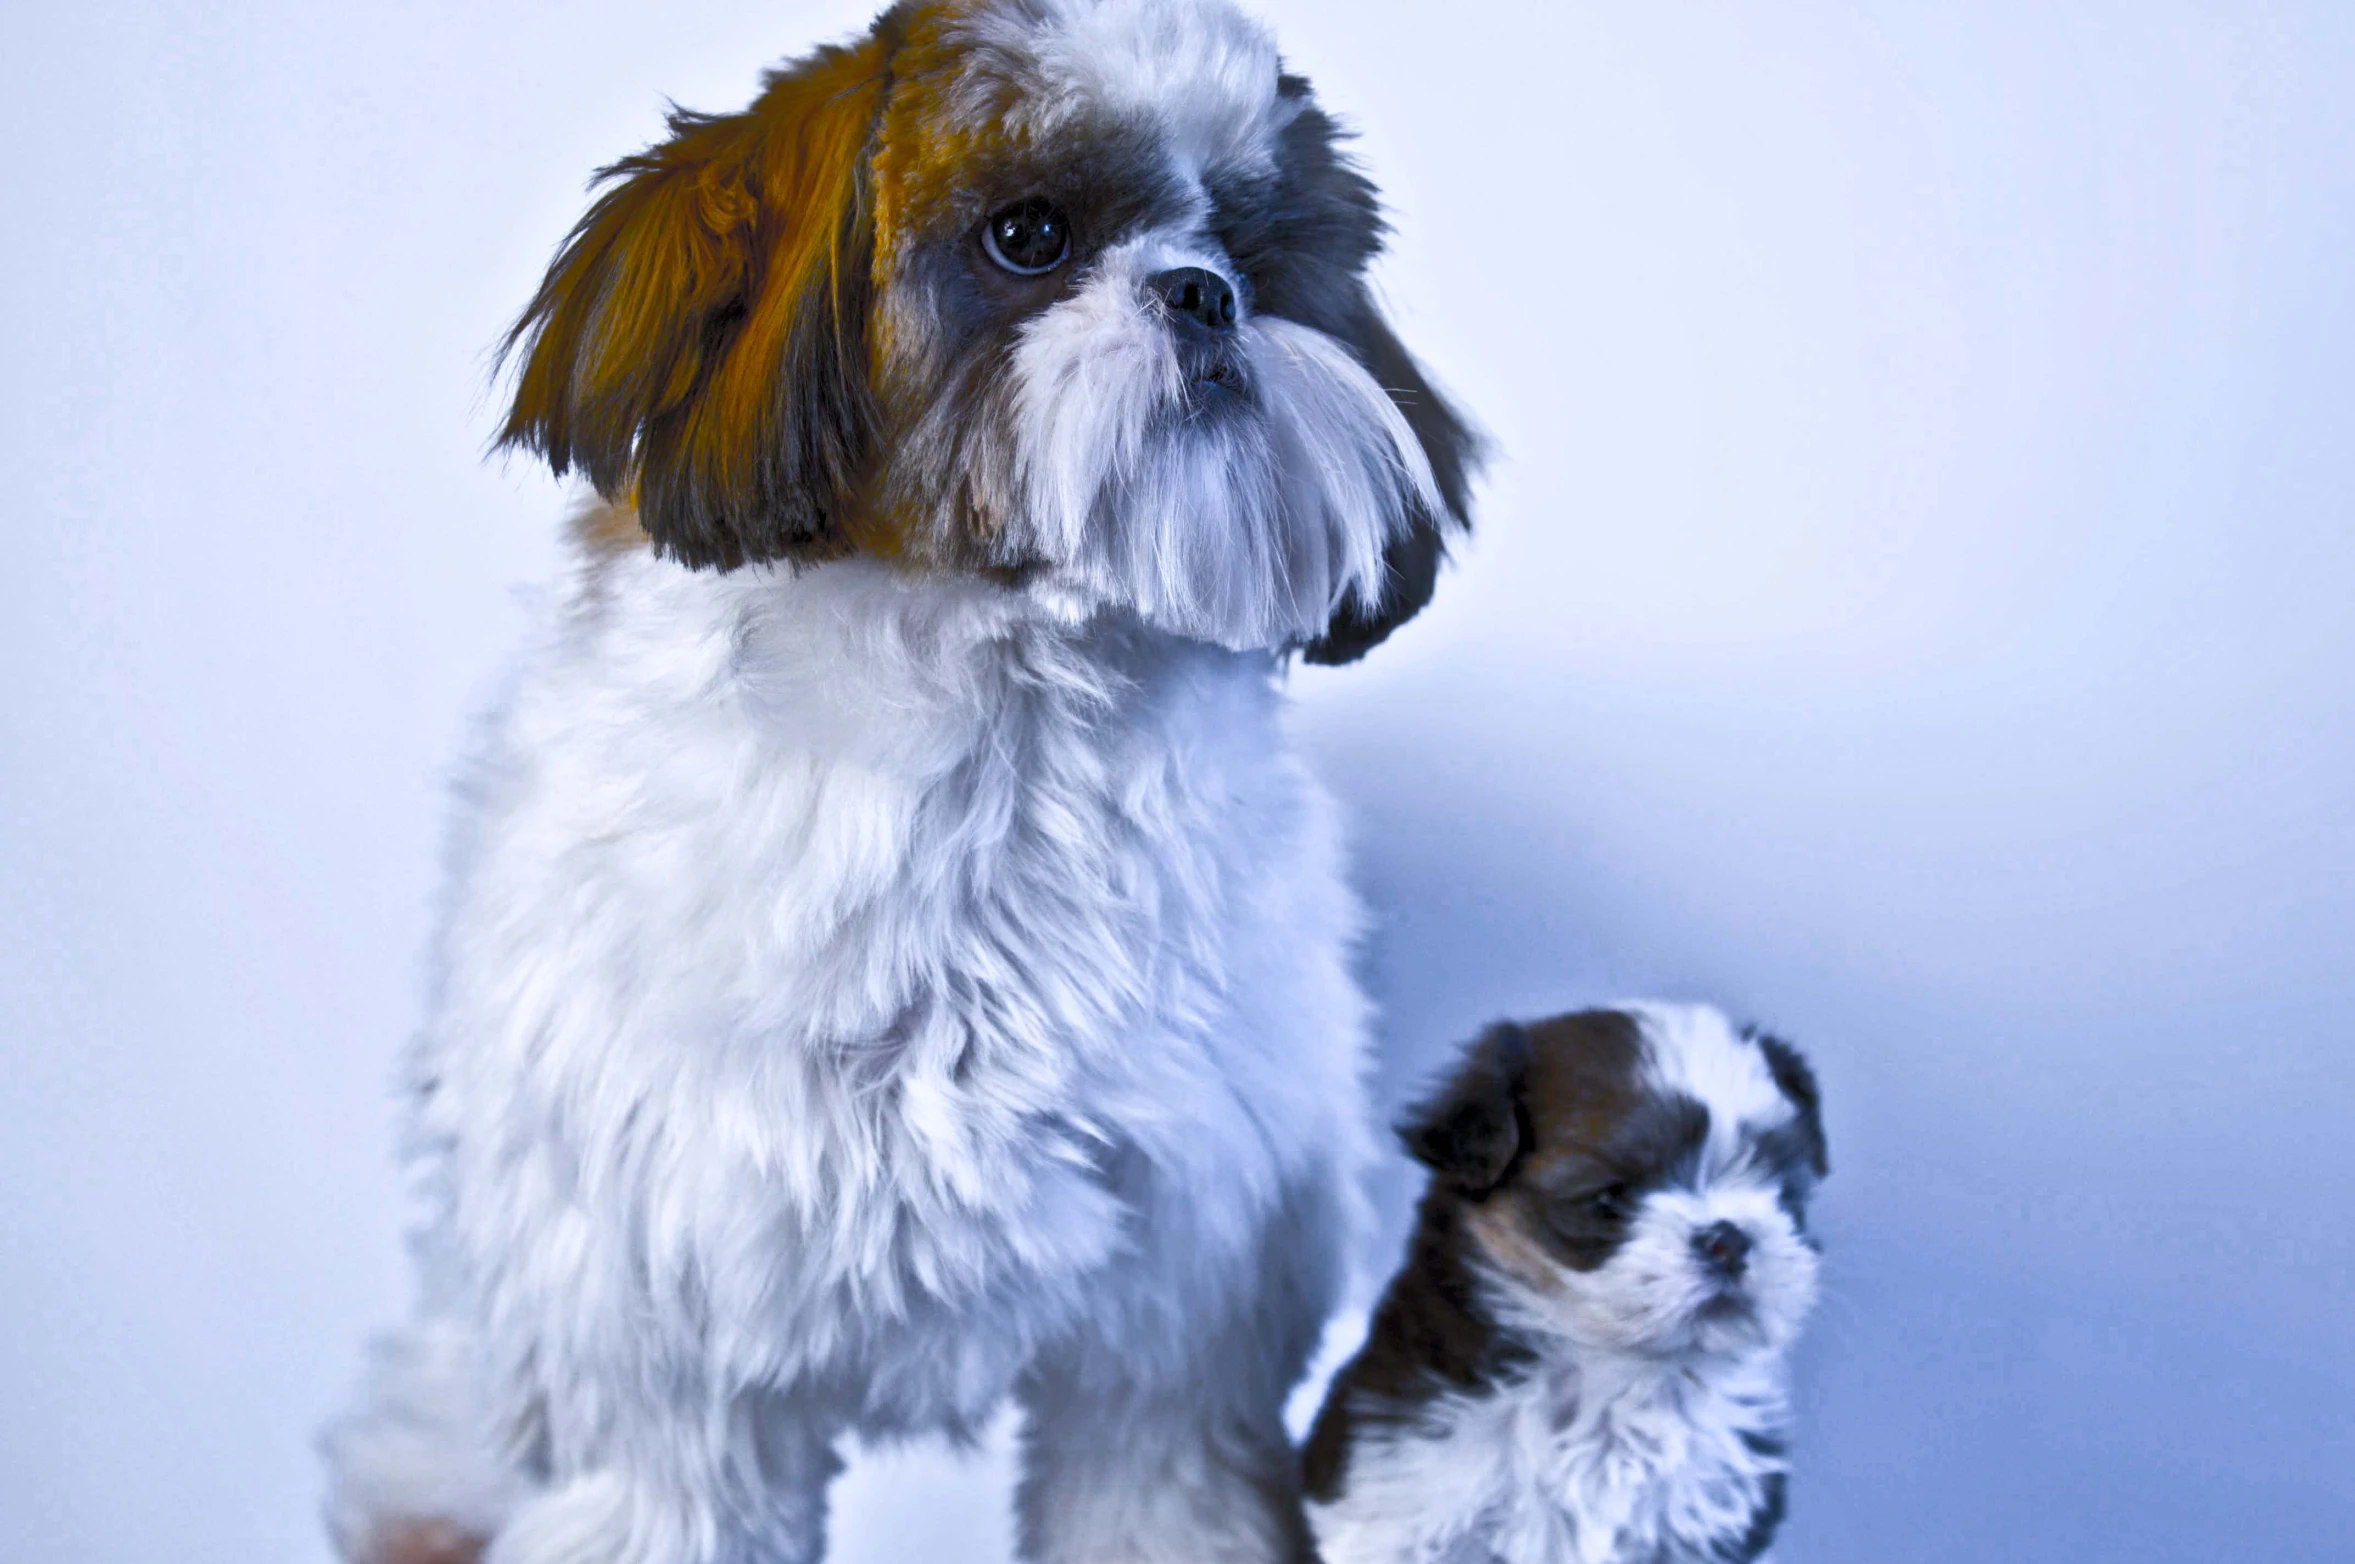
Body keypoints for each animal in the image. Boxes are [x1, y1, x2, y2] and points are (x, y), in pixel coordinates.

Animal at [322, 3, 1478, 1564]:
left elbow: (1152, 1485)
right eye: (1029, 235)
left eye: (1253, 244)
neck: (996, 720)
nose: (1204, 296)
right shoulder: (667, 1348)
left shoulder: (1179, 1321)